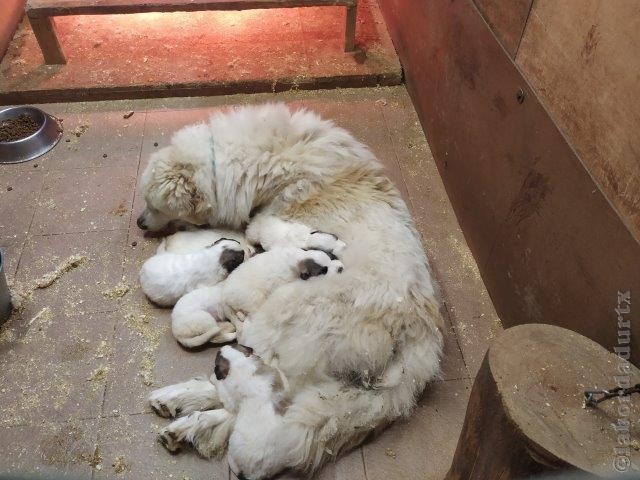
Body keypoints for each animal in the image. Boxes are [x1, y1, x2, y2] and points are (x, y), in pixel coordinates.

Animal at [138, 103, 442, 478]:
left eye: (155, 206)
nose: (139, 222)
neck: (269, 156)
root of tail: (419, 344)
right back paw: (178, 414)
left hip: (283, 327)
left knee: (242, 390)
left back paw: (185, 414)